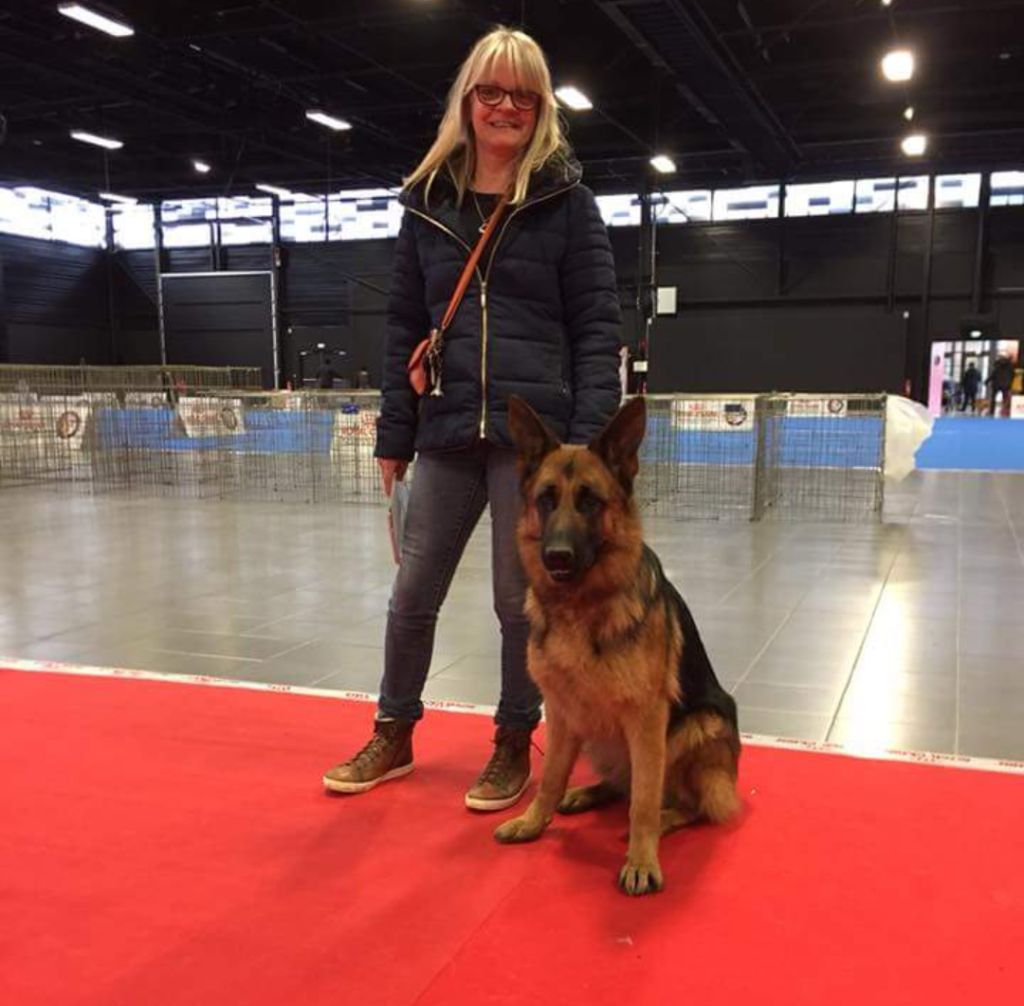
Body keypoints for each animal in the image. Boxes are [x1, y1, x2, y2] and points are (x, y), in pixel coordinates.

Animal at [495, 393, 737, 897]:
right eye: (546, 500)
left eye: (590, 502)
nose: (557, 558)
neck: (581, 607)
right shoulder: (562, 713)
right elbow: (550, 778)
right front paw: (533, 822)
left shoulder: (646, 720)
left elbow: (643, 800)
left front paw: (642, 860)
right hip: (597, 736)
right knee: (621, 783)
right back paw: (586, 793)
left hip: (698, 726)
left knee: (686, 803)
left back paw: (661, 819)